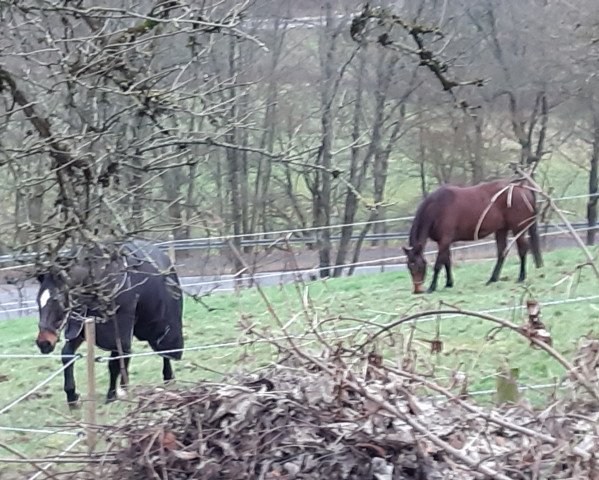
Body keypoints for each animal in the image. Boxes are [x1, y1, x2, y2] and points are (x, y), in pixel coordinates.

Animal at [35, 238, 184, 406]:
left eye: (58, 300)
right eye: (38, 301)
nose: (44, 342)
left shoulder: (117, 329)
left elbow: (113, 363)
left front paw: (111, 396)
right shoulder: (81, 328)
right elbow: (67, 355)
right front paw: (72, 396)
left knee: (164, 350)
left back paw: (167, 378)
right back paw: (125, 387)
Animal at [404, 178, 544, 294]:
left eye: (419, 266)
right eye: (409, 267)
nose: (417, 290)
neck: (437, 207)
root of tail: (523, 189)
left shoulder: (445, 241)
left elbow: (439, 264)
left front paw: (432, 287)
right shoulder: (445, 242)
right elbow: (447, 262)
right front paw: (449, 283)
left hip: (517, 229)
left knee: (522, 249)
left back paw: (521, 277)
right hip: (501, 230)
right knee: (502, 252)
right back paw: (492, 279)